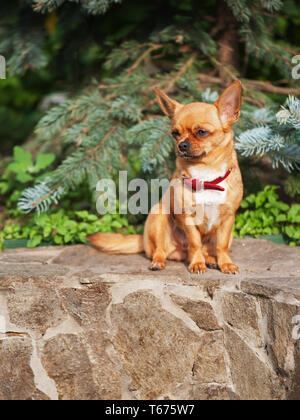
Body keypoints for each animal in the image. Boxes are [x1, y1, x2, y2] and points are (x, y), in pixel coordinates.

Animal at [88, 80, 243, 274]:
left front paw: (225, 264)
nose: (182, 145)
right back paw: (160, 262)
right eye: (175, 133)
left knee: (209, 249)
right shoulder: (188, 218)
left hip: (228, 235)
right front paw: (197, 263)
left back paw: (211, 260)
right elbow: (195, 243)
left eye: (201, 132)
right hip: (159, 215)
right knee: (161, 250)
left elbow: (221, 246)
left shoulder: (228, 219)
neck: (206, 176)